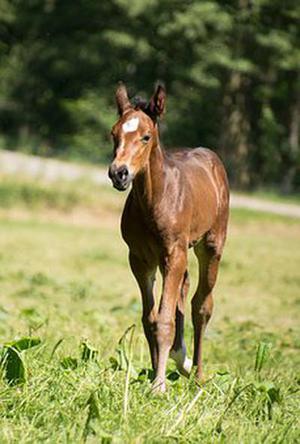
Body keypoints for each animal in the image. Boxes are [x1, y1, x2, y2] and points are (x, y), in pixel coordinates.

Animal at [109, 83, 229, 392]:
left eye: (146, 136)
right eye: (113, 133)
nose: (119, 173)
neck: (156, 199)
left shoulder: (174, 252)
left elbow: (163, 320)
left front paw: (159, 385)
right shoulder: (140, 259)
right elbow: (149, 319)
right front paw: (155, 372)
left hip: (210, 246)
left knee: (202, 305)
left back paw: (197, 374)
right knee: (184, 290)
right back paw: (180, 357)